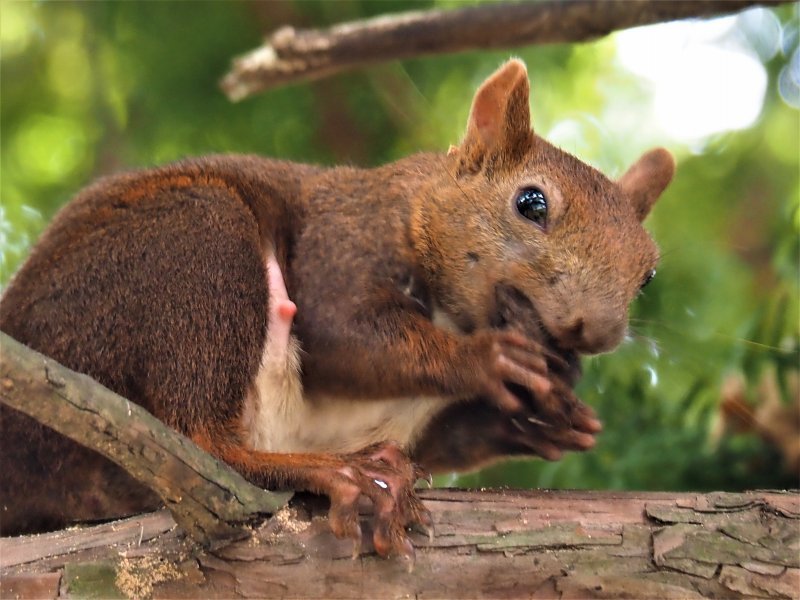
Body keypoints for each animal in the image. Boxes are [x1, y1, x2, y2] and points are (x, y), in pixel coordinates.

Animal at [0, 59, 676, 556]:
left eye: (648, 273)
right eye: (531, 203)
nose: (598, 330)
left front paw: (542, 418)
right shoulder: (343, 238)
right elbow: (342, 336)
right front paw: (489, 361)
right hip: (191, 245)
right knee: (202, 440)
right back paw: (337, 472)